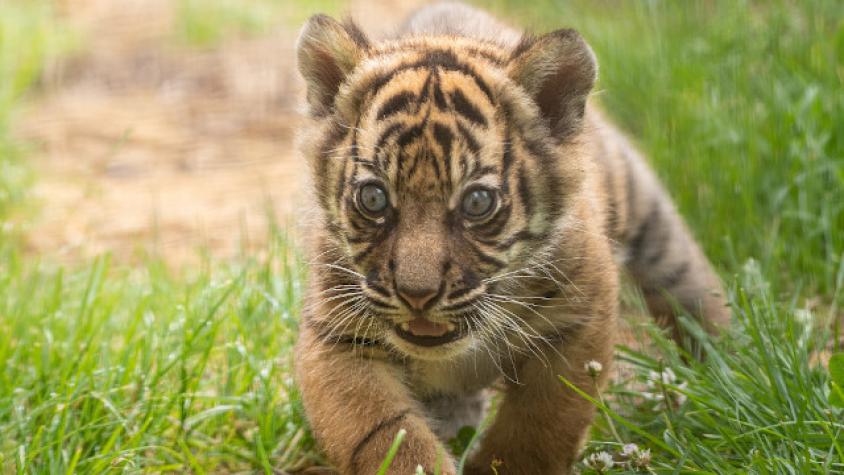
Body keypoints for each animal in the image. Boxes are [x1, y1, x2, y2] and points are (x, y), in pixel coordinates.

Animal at [293, 3, 729, 474]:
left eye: (477, 202)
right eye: (373, 197)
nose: (416, 295)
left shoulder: (579, 314)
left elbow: (540, 425)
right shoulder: (337, 336)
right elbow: (383, 431)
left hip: (654, 227)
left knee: (695, 294)